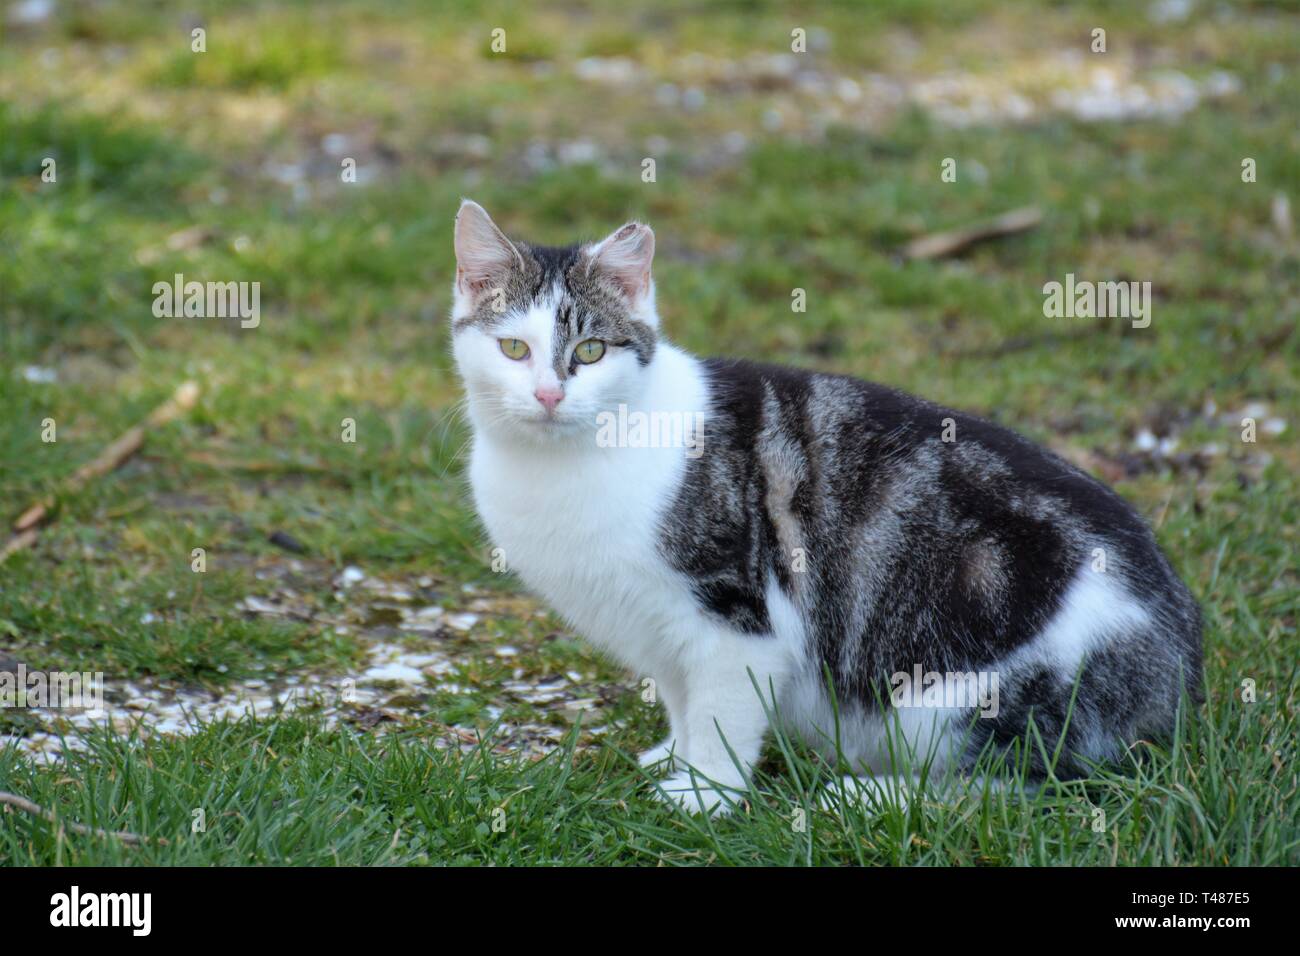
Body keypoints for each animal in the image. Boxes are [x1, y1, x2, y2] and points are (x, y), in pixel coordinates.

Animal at [452, 201, 1201, 816]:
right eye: (513, 348)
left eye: (590, 350)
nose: (549, 395)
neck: (560, 465)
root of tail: (1182, 658)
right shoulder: (657, 629)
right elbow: (684, 699)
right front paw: (676, 758)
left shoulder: (735, 616)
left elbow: (721, 710)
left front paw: (705, 793)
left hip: (967, 692)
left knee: (1037, 782)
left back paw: (869, 797)